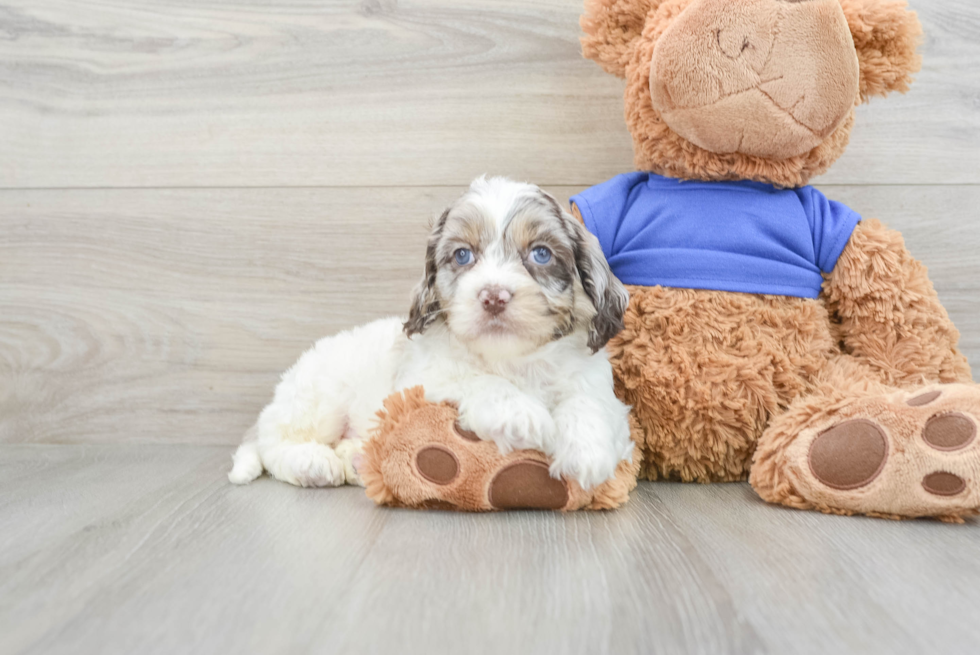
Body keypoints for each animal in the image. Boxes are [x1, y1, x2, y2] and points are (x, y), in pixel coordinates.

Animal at [228, 177, 636, 490]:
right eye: (462, 255)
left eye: (541, 254)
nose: (493, 296)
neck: (512, 360)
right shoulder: (423, 378)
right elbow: (478, 380)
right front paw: (521, 414)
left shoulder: (592, 379)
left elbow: (590, 403)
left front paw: (588, 451)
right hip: (318, 399)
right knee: (273, 443)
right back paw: (312, 463)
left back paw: (357, 460)